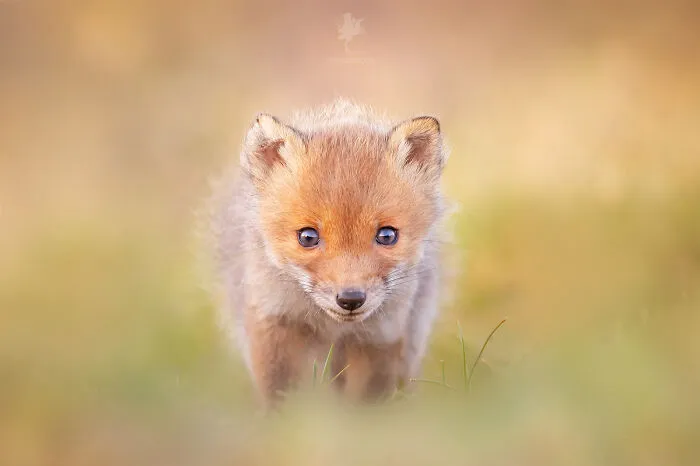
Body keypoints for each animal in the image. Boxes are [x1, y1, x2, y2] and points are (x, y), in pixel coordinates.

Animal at [207, 99, 450, 406]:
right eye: (308, 237)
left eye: (387, 236)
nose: (350, 299)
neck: (332, 327)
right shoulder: (273, 325)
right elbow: (279, 398)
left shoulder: (381, 336)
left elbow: (366, 404)